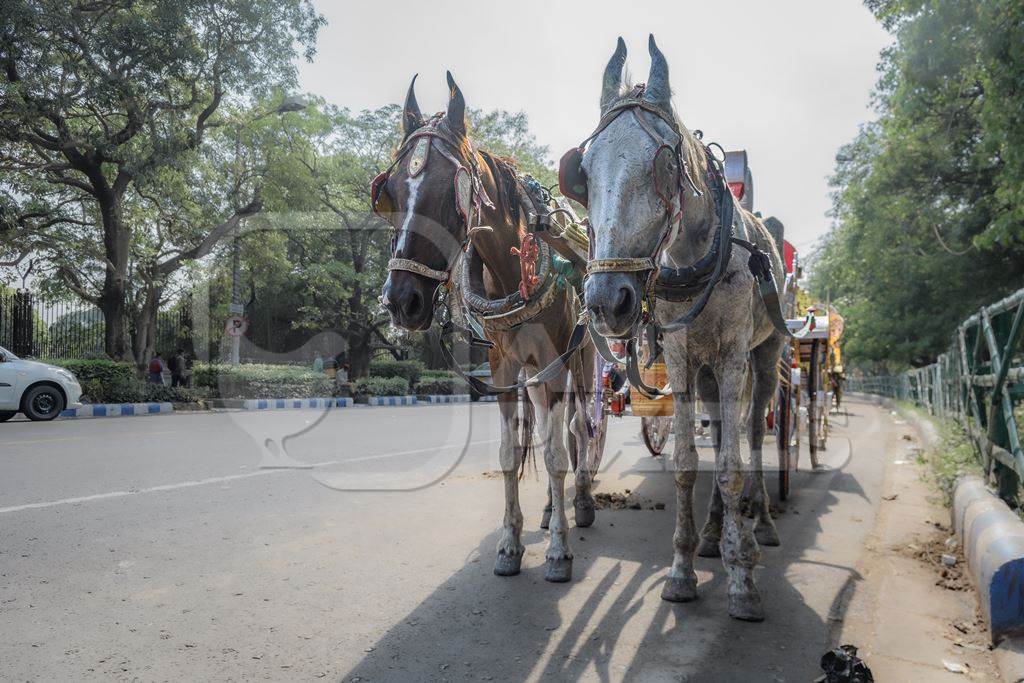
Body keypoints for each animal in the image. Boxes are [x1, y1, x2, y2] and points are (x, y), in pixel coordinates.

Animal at [376, 73, 598, 581]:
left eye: (447, 192)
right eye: (390, 194)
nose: (401, 301)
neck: (515, 271)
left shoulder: (555, 361)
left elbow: (556, 453)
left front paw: (559, 552)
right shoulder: (502, 367)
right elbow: (510, 453)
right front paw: (510, 544)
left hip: (581, 358)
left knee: (578, 428)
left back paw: (579, 502)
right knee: (548, 428)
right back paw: (549, 511)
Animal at [581, 36, 786, 626]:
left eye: (664, 163)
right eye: (583, 169)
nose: (606, 301)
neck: (698, 253)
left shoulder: (735, 355)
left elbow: (734, 465)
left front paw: (742, 581)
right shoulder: (679, 357)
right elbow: (690, 465)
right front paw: (682, 569)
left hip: (764, 356)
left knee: (752, 435)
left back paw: (759, 525)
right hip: (709, 369)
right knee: (718, 434)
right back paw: (717, 533)